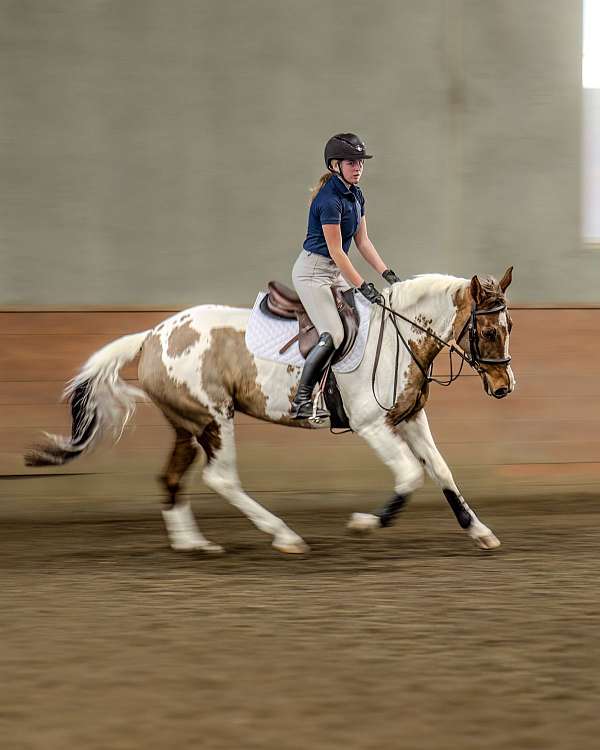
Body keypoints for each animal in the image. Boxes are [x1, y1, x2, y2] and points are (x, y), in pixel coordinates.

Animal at [25, 268, 514, 555]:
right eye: (489, 331)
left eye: (509, 325)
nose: (504, 388)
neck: (398, 336)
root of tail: (153, 335)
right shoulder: (372, 426)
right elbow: (411, 475)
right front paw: (364, 524)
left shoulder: (410, 418)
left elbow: (443, 471)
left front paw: (480, 531)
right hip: (215, 418)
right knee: (220, 478)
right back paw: (284, 536)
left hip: (188, 424)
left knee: (172, 477)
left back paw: (193, 544)